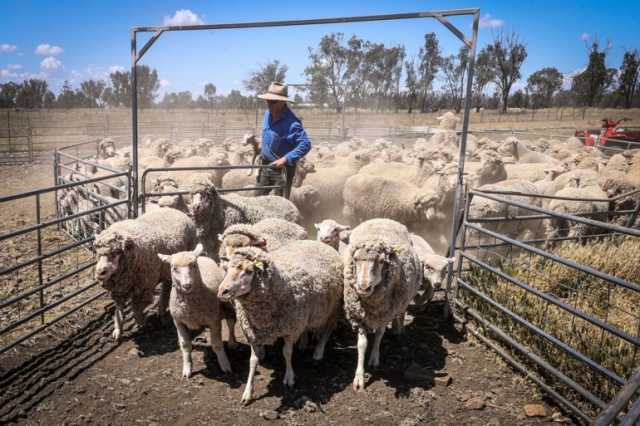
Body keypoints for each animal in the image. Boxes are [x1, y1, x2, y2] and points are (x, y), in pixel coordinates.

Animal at [93, 208, 195, 342]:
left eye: (116, 252)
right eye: (98, 253)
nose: (100, 272)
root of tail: (175, 210)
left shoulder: (144, 288)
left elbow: (136, 309)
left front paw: (141, 322)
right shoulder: (119, 291)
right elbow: (118, 311)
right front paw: (118, 330)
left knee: (166, 289)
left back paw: (161, 311)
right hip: (165, 269)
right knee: (166, 286)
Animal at [158, 245, 238, 378]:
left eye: (193, 265)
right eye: (174, 268)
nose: (187, 285)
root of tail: (201, 256)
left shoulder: (214, 321)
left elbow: (217, 345)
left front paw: (225, 365)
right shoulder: (178, 322)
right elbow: (185, 345)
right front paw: (187, 368)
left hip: (227, 306)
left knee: (231, 324)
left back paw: (232, 342)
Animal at [216, 241, 344, 404]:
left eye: (249, 271)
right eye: (227, 269)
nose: (222, 291)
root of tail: (316, 242)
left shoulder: (290, 330)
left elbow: (287, 353)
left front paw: (289, 377)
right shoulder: (253, 332)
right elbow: (253, 361)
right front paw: (248, 392)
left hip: (333, 308)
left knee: (327, 330)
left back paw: (318, 351)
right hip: (306, 314)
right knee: (306, 328)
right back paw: (303, 343)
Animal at [342, 218, 422, 392]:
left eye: (380, 261)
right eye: (356, 260)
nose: (363, 287)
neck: (372, 304)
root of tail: (385, 219)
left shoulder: (384, 315)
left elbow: (379, 335)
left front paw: (374, 358)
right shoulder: (359, 316)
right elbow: (361, 345)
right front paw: (359, 378)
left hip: (403, 299)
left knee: (401, 313)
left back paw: (399, 329)